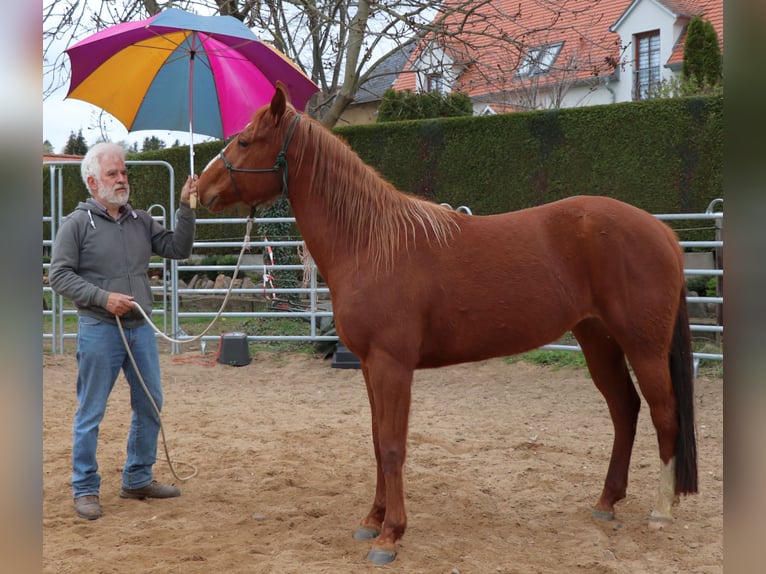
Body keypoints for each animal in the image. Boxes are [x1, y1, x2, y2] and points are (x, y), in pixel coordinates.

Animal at [196, 82, 698, 564]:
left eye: (244, 141)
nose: (198, 189)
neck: (372, 243)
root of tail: (663, 232)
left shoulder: (392, 365)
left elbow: (393, 445)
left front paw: (390, 536)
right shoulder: (370, 367)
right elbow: (377, 441)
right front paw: (372, 519)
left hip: (644, 347)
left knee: (664, 413)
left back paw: (661, 510)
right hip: (598, 340)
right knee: (624, 409)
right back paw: (606, 502)